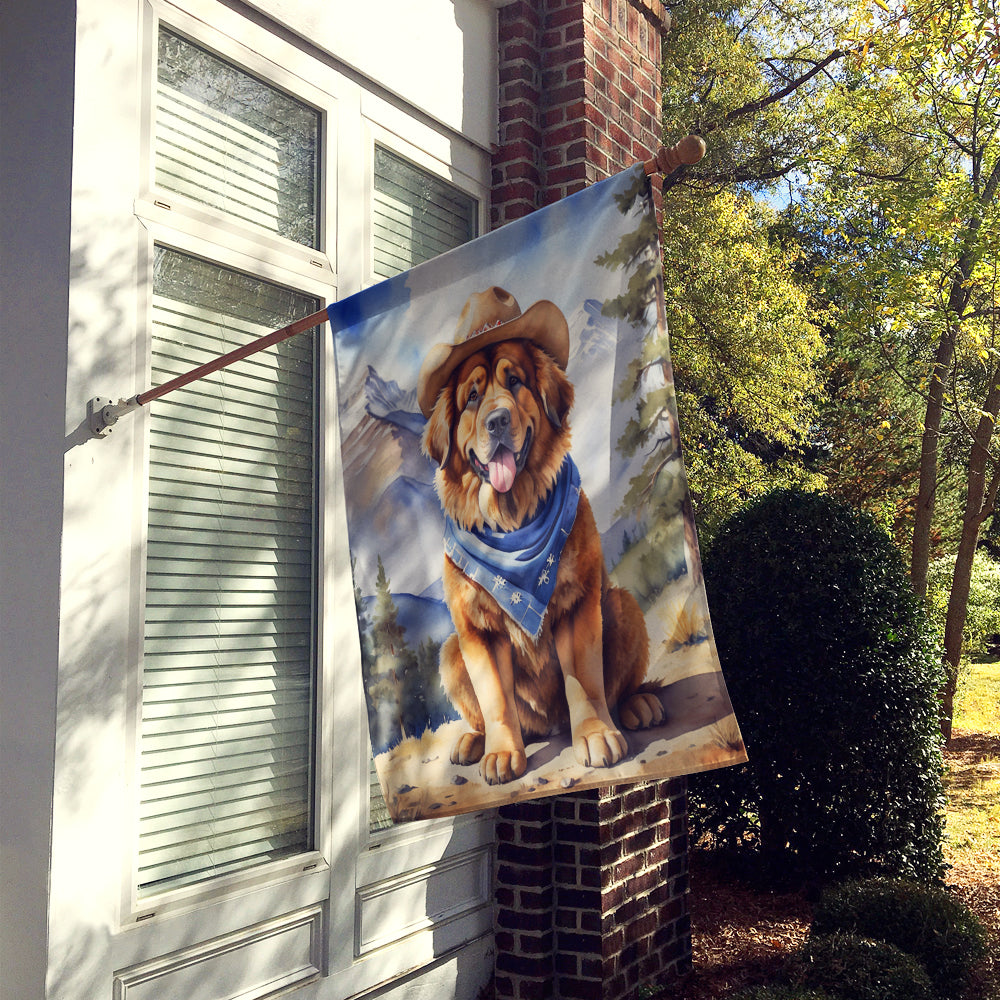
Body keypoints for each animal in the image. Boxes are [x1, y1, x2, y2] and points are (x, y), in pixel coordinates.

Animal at [416, 286, 664, 784]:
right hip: (451, 650)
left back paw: (637, 706)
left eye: (515, 382)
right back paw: (474, 742)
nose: (496, 421)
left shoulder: (577, 603)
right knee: (490, 713)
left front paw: (595, 736)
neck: (514, 521)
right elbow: (496, 699)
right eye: (472, 397)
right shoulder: (477, 630)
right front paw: (500, 753)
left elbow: (584, 681)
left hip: (620, 604)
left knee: (618, 687)